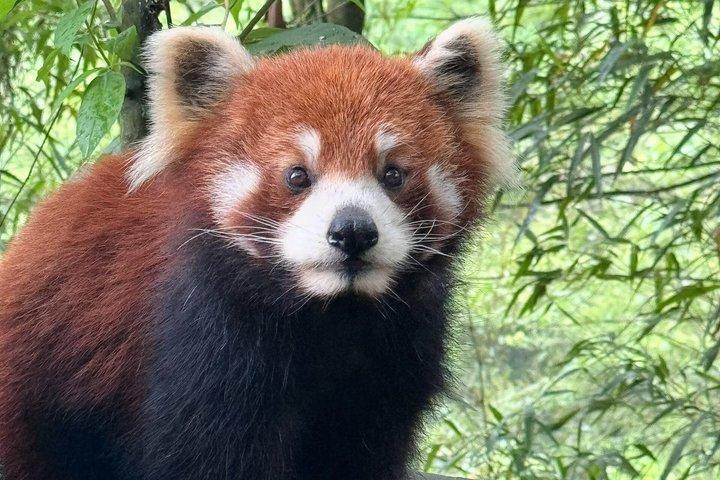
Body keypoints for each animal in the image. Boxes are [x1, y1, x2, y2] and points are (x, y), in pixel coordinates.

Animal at [0, 18, 511, 480]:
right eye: (297, 176)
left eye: (393, 174)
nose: (352, 231)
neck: (332, 315)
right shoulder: (201, 340)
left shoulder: (393, 365)